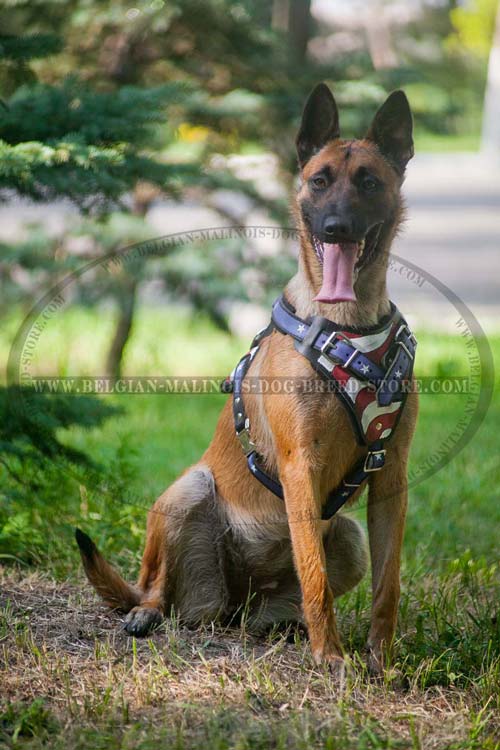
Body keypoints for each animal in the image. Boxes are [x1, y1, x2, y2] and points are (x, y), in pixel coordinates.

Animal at [75, 83, 418, 676]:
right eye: (320, 180)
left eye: (370, 182)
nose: (336, 228)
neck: (348, 328)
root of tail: (233, 599)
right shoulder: (301, 464)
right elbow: (315, 578)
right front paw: (331, 658)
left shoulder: (390, 476)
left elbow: (386, 586)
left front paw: (382, 662)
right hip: (189, 490)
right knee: (153, 585)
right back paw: (146, 613)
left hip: (346, 538)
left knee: (272, 605)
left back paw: (284, 627)